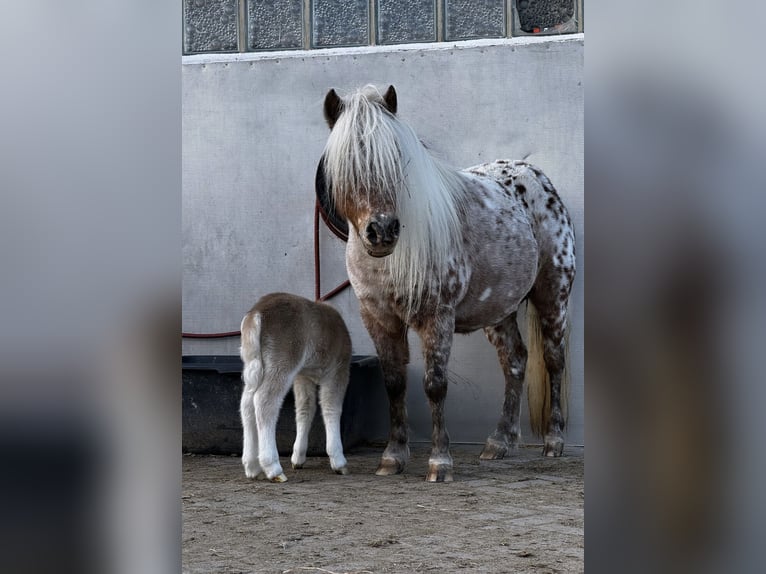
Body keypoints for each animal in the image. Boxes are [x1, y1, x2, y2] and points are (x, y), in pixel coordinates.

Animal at [240, 294, 354, 484]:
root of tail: (256, 313)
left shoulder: (302, 375)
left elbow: (305, 409)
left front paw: (298, 458)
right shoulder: (338, 368)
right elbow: (331, 408)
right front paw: (339, 462)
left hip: (253, 363)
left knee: (247, 403)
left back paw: (252, 467)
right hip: (282, 360)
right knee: (264, 401)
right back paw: (273, 468)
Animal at [318, 84, 576, 482]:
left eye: (397, 160)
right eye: (346, 166)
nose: (382, 231)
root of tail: (535, 175)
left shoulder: (436, 317)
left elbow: (435, 385)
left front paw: (440, 462)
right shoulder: (378, 319)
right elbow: (394, 383)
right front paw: (392, 458)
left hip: (553, 296)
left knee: (553, 359)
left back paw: (553, 441)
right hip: (498, 310)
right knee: (515, 360)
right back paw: (498, 442)